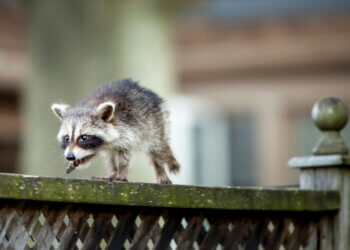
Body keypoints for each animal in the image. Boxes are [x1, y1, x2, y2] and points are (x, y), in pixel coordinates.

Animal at [51, 79, 180, 185]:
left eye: (84, 137)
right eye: (67, 138)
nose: (70, 156)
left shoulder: (129, 131)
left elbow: (125, 153)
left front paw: (122, 172)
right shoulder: (96, 145)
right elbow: (91, 153)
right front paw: (80, 159)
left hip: (155, 124)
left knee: (158, 149)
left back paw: (160, 169)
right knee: (111, 157)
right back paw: (113, 172)